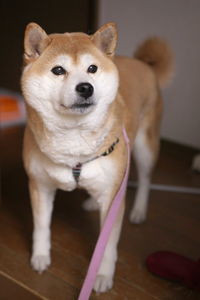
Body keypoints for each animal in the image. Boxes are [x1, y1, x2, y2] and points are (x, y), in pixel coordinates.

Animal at [21, 22, 173, 292]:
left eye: (92, 68)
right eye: (58, 70)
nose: (85, 87)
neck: (73, 140)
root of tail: (142, 63)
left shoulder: (114, 201)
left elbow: (107, 244)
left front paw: (101, 275)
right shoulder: (40, 186)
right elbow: (41, 226)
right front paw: (40, 256)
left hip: (145, 148)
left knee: (145, 180)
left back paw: (138, 211)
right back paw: (93, 201)